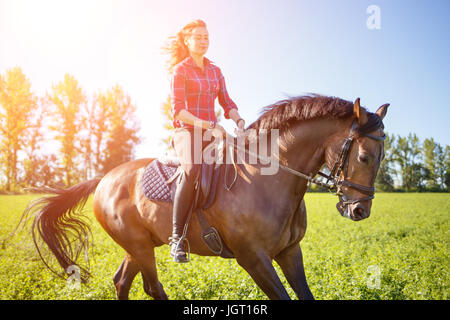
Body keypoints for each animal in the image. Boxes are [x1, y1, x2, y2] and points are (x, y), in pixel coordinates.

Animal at [12, 94, 388, 300]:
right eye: (364, 157)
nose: (360, 210)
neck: (269, 181)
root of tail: (104, 178)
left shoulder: (289, 252)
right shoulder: (253, 259)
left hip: (139, 245)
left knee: (121, 281)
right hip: (140, 246)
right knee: (151, 287)